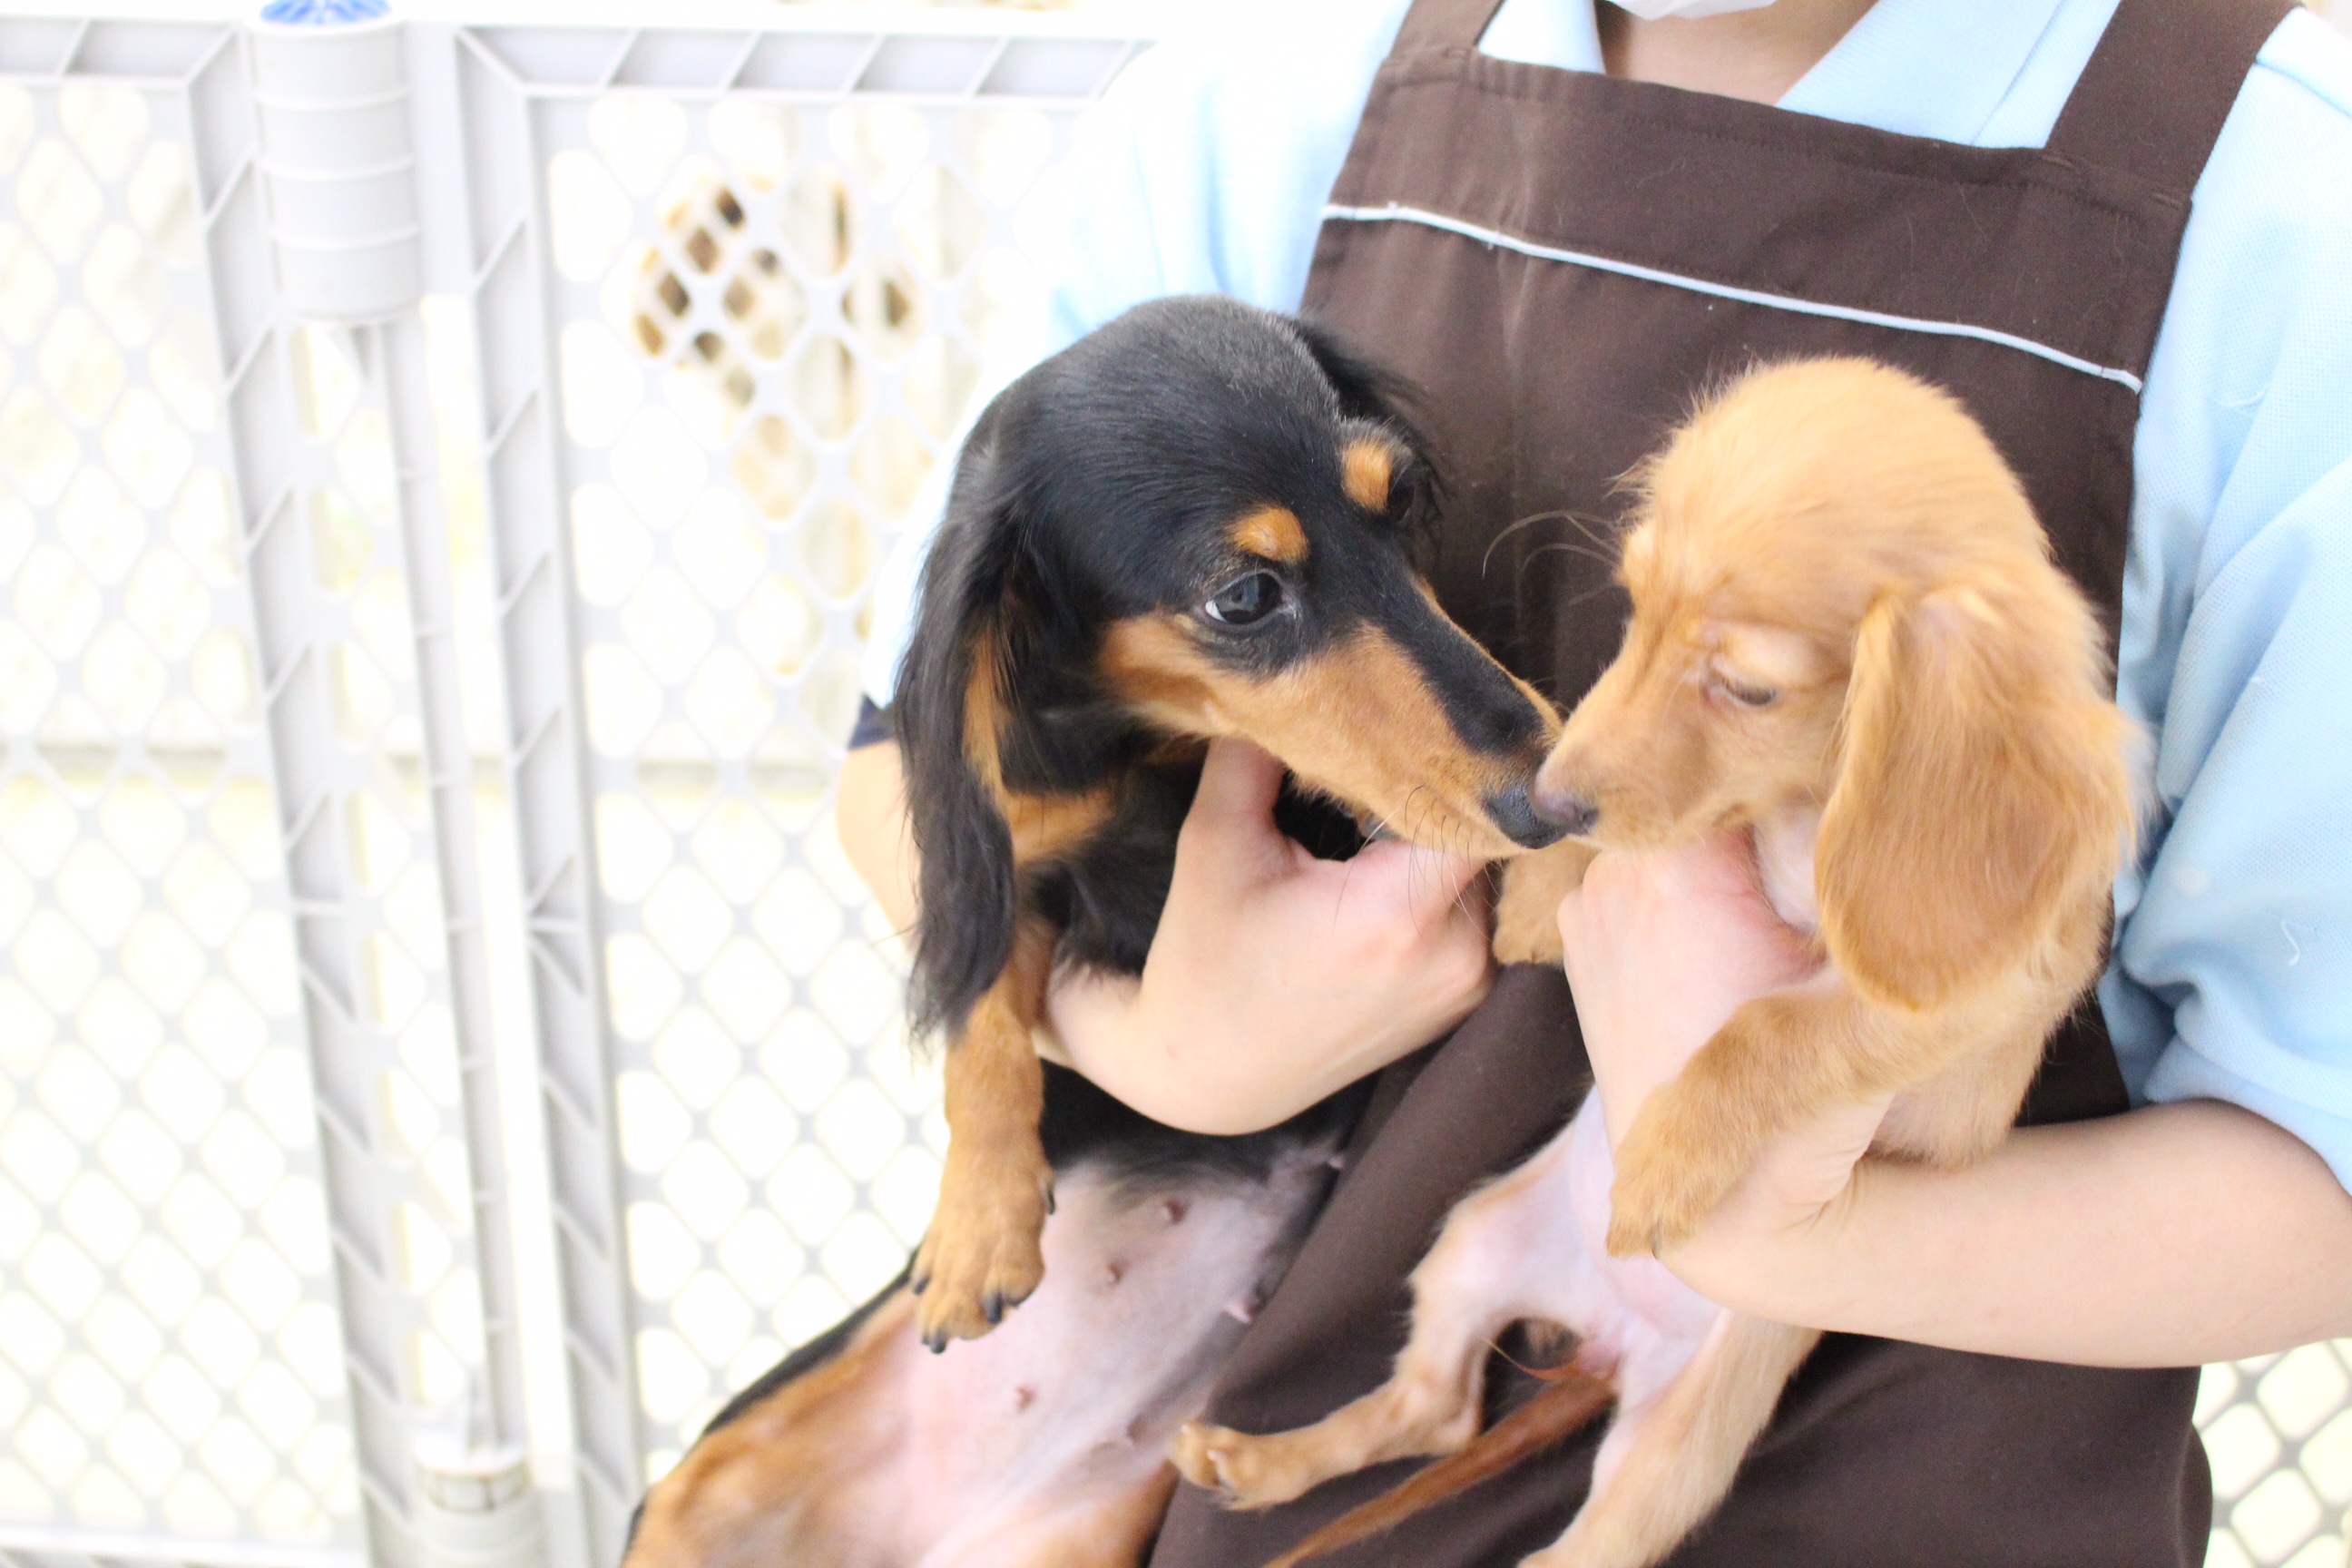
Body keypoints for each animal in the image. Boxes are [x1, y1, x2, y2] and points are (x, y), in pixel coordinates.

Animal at [888, 297, 1571, 1354]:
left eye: (1400, 498)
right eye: (1244, 595)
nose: (1543, 792)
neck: (1157, 749)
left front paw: (1553, 876)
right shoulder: (1020, 863)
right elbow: (983, 1007)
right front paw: (976, 1223)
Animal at [1166, 359, 2144, 1568]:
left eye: (1752, 689)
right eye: (1633, 615)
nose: (1542, 806)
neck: (1804, 822)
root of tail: (1607, 1341)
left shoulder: (1970, 999)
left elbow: (1775, 1029)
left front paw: (1671, 1155)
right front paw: (1542, 897)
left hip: (1667, 1461)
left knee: (1572, 1537)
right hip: (1473, 1242)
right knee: (1433, 1409)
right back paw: (1255, 1462)